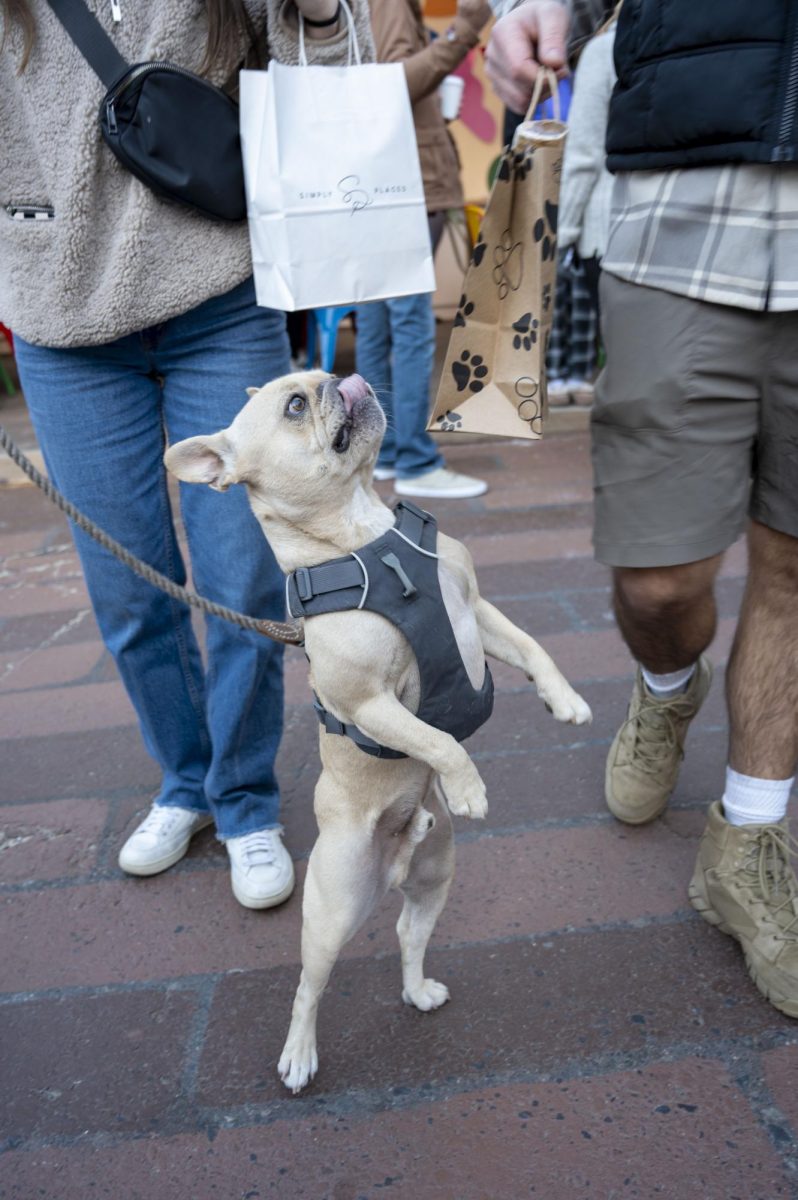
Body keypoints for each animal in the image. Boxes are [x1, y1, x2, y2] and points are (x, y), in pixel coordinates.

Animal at [166, 372, 590, 1099]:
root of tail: (394, 862)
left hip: (435, 878)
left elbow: (534, 648)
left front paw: (565, 701)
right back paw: (299, 1057)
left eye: (318, 381)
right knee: (308, 987)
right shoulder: (369, 701)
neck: (363, 533)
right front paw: (468, 787)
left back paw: (417, 990)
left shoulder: (478, 610)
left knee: (406, 935)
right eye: (295, 406)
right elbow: (438, 739)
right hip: (331, 912)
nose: (341, 379)